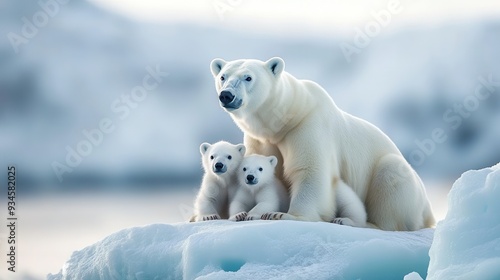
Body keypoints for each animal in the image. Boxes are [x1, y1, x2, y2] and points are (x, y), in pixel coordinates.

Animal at [209, 57, 436, 232]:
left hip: (400, 182)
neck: (285, 119)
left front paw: (284, 215)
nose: (226, 95)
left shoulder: (307, 126)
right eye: (223, 77)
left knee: (390, 174)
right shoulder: (260, 140)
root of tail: (429, 210)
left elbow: (310, 170)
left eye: (248, 77)